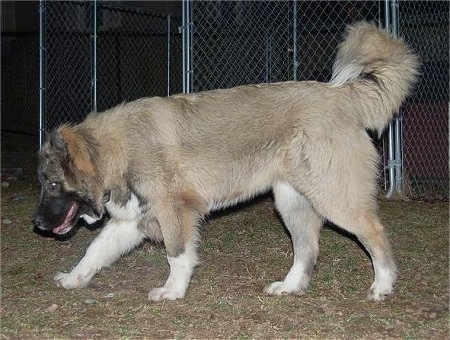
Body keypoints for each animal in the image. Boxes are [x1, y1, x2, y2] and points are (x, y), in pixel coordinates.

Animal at [34, 22, 418, 302]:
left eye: (52, 183)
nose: (36, 224)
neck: (115, 150)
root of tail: (340, 96)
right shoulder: (131, 219)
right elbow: (94, 251)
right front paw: (74, 279)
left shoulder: (174, 212)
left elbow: (177, 254)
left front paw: (173, 291)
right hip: (291, 202)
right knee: (308, 248)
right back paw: (289, 286)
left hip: (334, 198)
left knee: (374, 233)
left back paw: (383, 285)